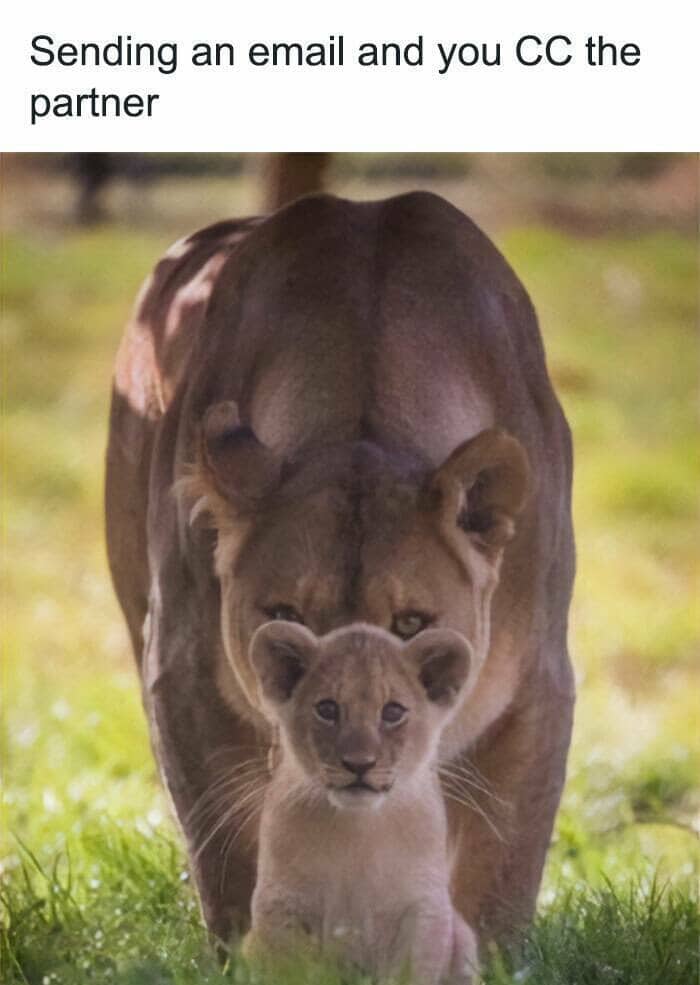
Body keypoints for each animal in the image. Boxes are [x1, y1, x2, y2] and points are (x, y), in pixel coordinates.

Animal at [246, 620, 479, 984]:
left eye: (393, 712)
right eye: (327, 709)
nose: (359, 764)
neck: (357, 829)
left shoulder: (423, 908)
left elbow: (410, 972)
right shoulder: (280, 904)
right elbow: (292, 970)